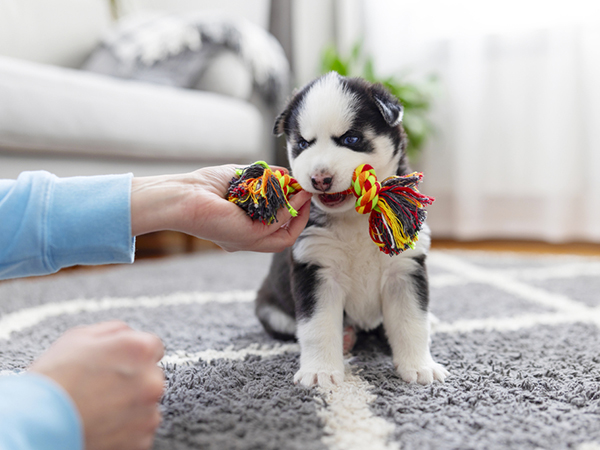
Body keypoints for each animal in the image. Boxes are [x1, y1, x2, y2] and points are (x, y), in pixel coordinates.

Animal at [255, 72, 448, 384]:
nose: (319, 178)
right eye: (303, 144)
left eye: (351, 139)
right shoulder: (317, 268)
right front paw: (320, 371)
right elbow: (317, 328)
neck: (354, 219)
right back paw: (346, 337)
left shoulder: (404, 268)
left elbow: (411, 322)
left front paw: (420, 366)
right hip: (270, 307)